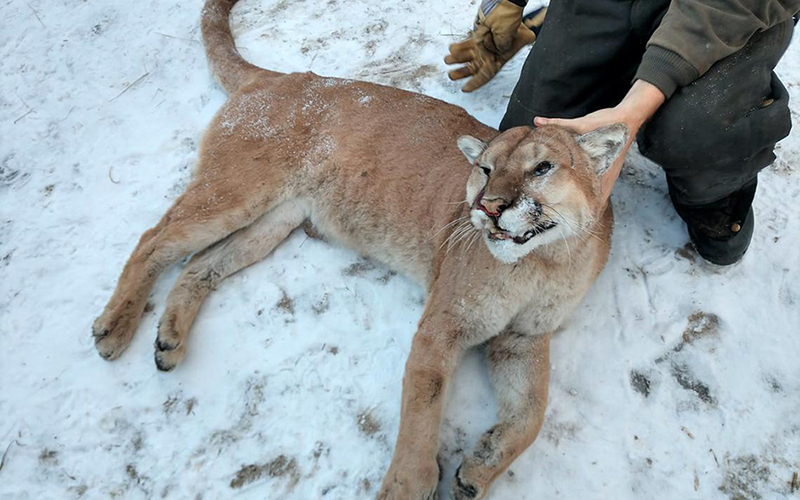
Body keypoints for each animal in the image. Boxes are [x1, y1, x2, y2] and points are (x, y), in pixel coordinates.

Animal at [94, 0, 628, 496]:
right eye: (485, 169)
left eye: (542, 168)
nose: (489, 206)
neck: (545, 262)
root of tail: (284, 77)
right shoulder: (445, 325)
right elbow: (422, 411)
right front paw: (408, 486)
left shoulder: (523, 338)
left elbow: (532, 413)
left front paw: (479, 467)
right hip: (237, 191)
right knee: (154, 240)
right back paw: (115, 326)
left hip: (275, 218)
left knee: (199, 265)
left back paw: (168, 340)